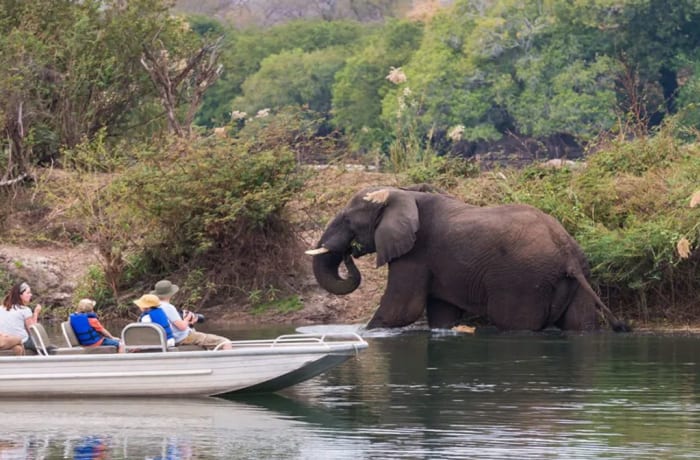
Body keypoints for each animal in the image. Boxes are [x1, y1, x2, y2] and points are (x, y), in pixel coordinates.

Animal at [306, 185, 628, 332]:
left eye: (349, 220)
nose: (350, 251)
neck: (403, 193)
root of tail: (566, 251)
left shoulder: (415, 253)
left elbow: (402, 310)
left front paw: (364, 333)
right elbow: (442, 314)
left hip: (523, 281)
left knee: (515, 323)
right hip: (579, 274)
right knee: (580, 325)